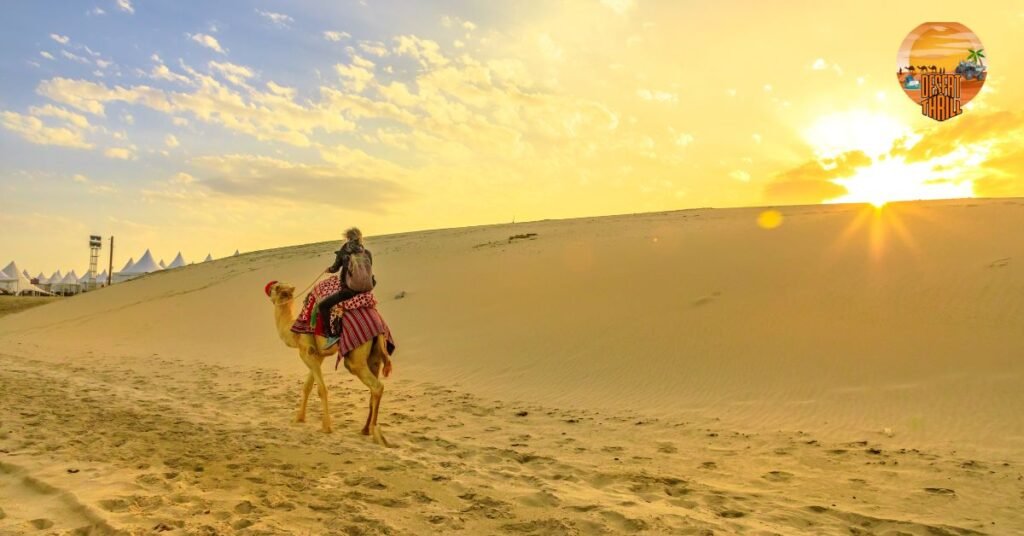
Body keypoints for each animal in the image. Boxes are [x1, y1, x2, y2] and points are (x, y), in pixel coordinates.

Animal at [266, 282, 393, 446]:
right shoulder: (318, 355)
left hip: (355, 357)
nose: (267, 289)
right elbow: (307, 386)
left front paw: (326, 427)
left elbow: (321, 389)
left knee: (376, 386)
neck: (293, 331)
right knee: (374, 386)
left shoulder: (307, 352)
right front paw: (299, 418)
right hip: (375, 355)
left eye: (274, 288)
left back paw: (375, 433)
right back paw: (365, 429)